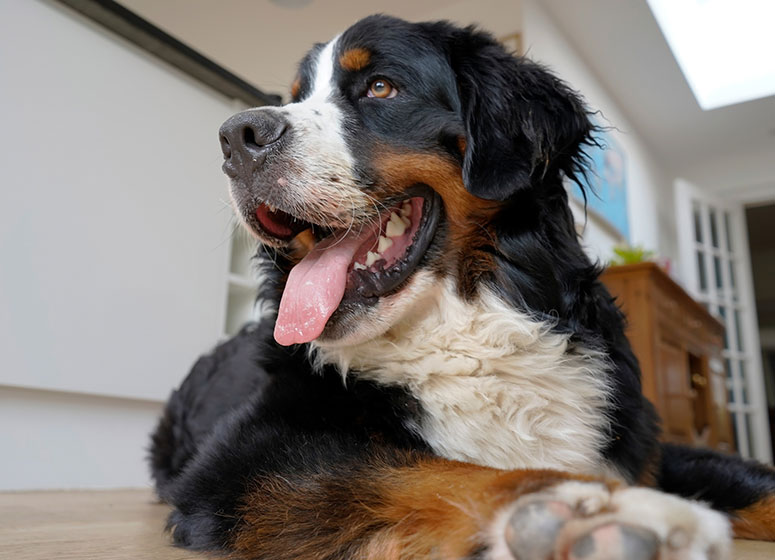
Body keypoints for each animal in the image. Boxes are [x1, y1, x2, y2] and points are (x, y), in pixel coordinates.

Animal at [150, 14, 775, 560]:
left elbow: (754, 480)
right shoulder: (242, 458)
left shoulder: (637, 439)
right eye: (295, 97)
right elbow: (420, 473)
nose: (236, 135)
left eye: (380, 87)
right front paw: (584, 514)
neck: (463, 333)